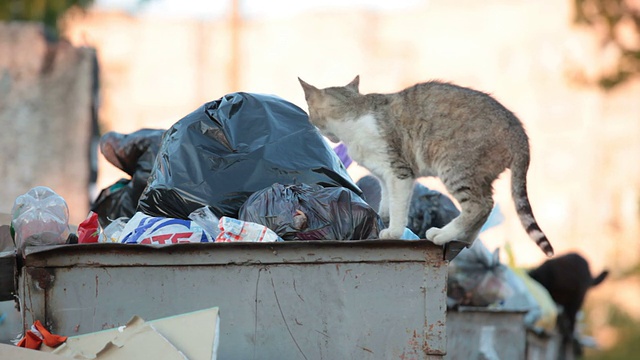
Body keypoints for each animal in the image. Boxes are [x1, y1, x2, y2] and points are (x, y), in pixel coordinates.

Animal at [300, 76, 556, 256]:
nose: (323, 133)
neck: (354, 110)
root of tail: (519, 132)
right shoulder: (384, 176)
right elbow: (386, 202)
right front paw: (381, 218)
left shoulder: (399, 172)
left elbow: (398, 206)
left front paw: (393, 232)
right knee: (485, 208)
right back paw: (463, 238)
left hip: (455, 166)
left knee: (480, 206)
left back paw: (442, 235)